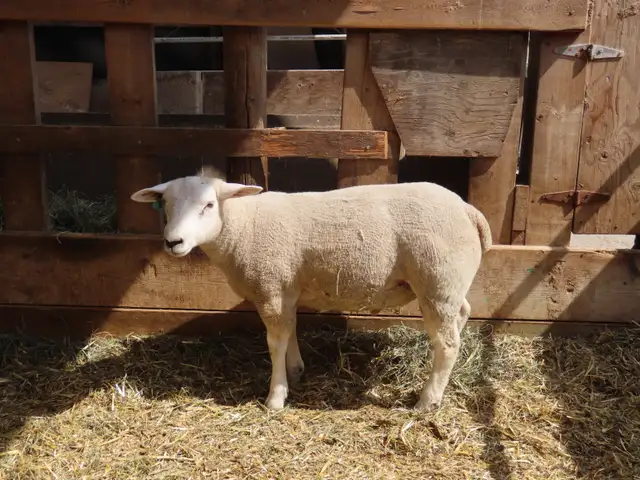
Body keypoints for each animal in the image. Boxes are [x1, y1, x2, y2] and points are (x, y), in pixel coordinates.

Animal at [131, 171, 492, 410]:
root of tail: (467, 209)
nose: (173, 242)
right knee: (462, 315)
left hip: (437, 281)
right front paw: (296, 370)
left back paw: (428, 400)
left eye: (208, 205)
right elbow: (290, 330)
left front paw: (276, 396)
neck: (242, 226)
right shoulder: (285, 290)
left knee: (447, 344)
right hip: (451, 285)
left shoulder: (271, 288)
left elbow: (274, 342)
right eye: (165, 205)